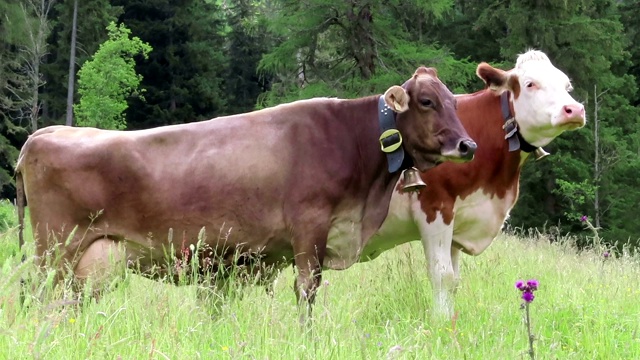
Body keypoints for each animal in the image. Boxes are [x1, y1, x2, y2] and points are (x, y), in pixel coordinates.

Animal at [15, 67, 476, 316]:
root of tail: (42, 134)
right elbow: (306, 292)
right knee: (37, 298)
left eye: (455, 101)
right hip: (54, 249)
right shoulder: (309, 229)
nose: (467, 145)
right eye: (426, 101)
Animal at [364, 50, 584, 318]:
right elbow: (442, 276)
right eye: (530, 83)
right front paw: (441, 321)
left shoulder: (459, 222)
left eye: (567, 86)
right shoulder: (435, 208)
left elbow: (454, 280)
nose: (574, 109)